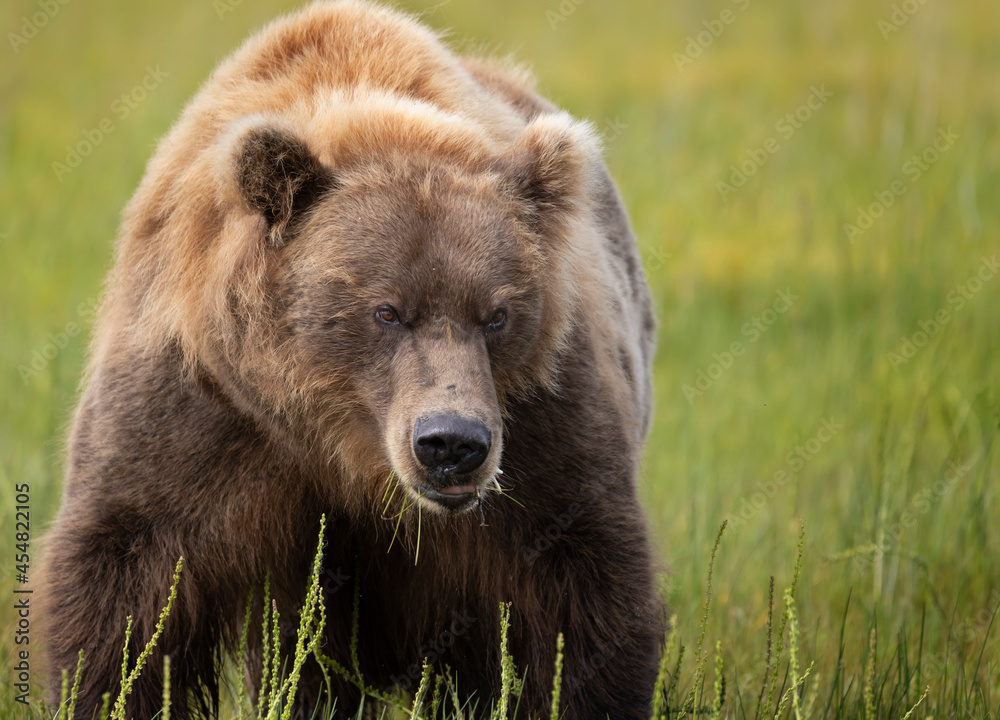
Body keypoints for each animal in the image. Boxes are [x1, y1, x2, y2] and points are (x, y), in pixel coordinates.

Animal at [41, 2, 664, 716]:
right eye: (386, 310)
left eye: (497, 313)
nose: (451, 443)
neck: (346, 446)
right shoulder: (199, 408)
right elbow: (129, 578)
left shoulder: (541, 421)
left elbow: (579, 587)